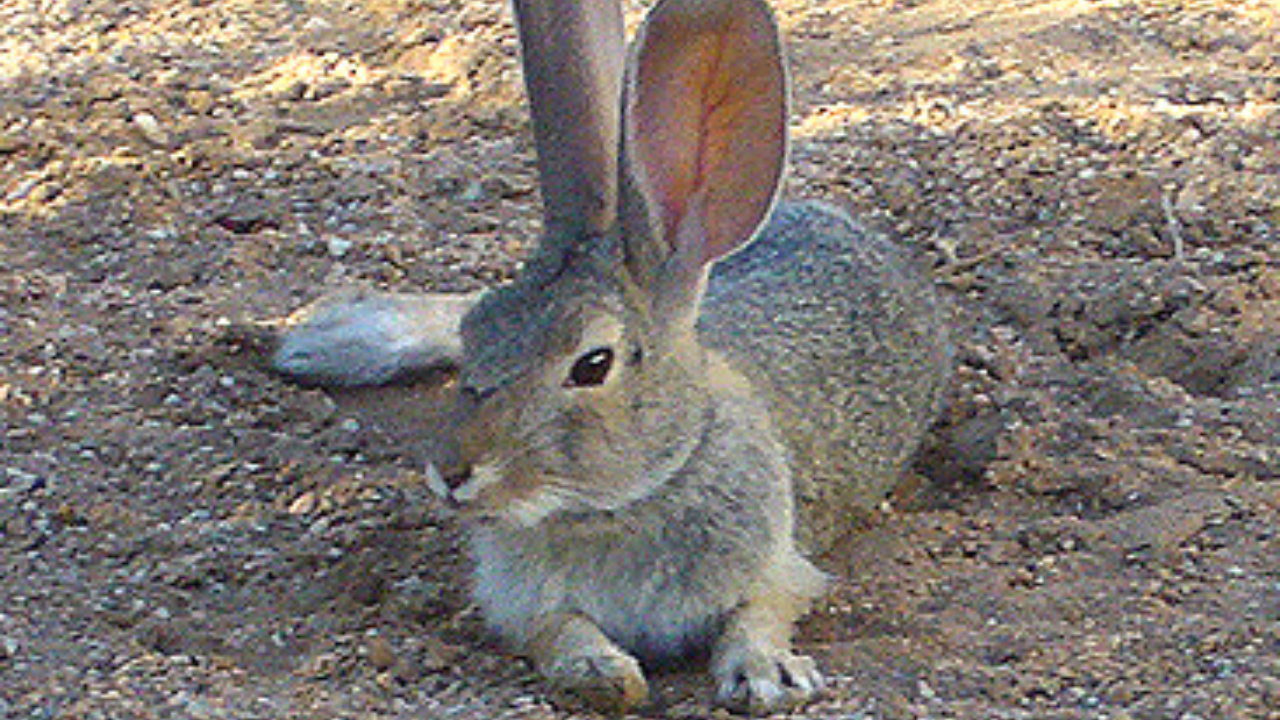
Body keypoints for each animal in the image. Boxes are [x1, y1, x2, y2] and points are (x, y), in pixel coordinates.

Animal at [272, 0, 952, 713]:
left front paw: (763, 676)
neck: (620, 501)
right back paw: (334, 335)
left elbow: (762, 613)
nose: (453, 473)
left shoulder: (779, 563)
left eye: (592, 365)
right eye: (476, 332)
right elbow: (556, 630)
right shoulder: (520, 603)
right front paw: (601, 673)